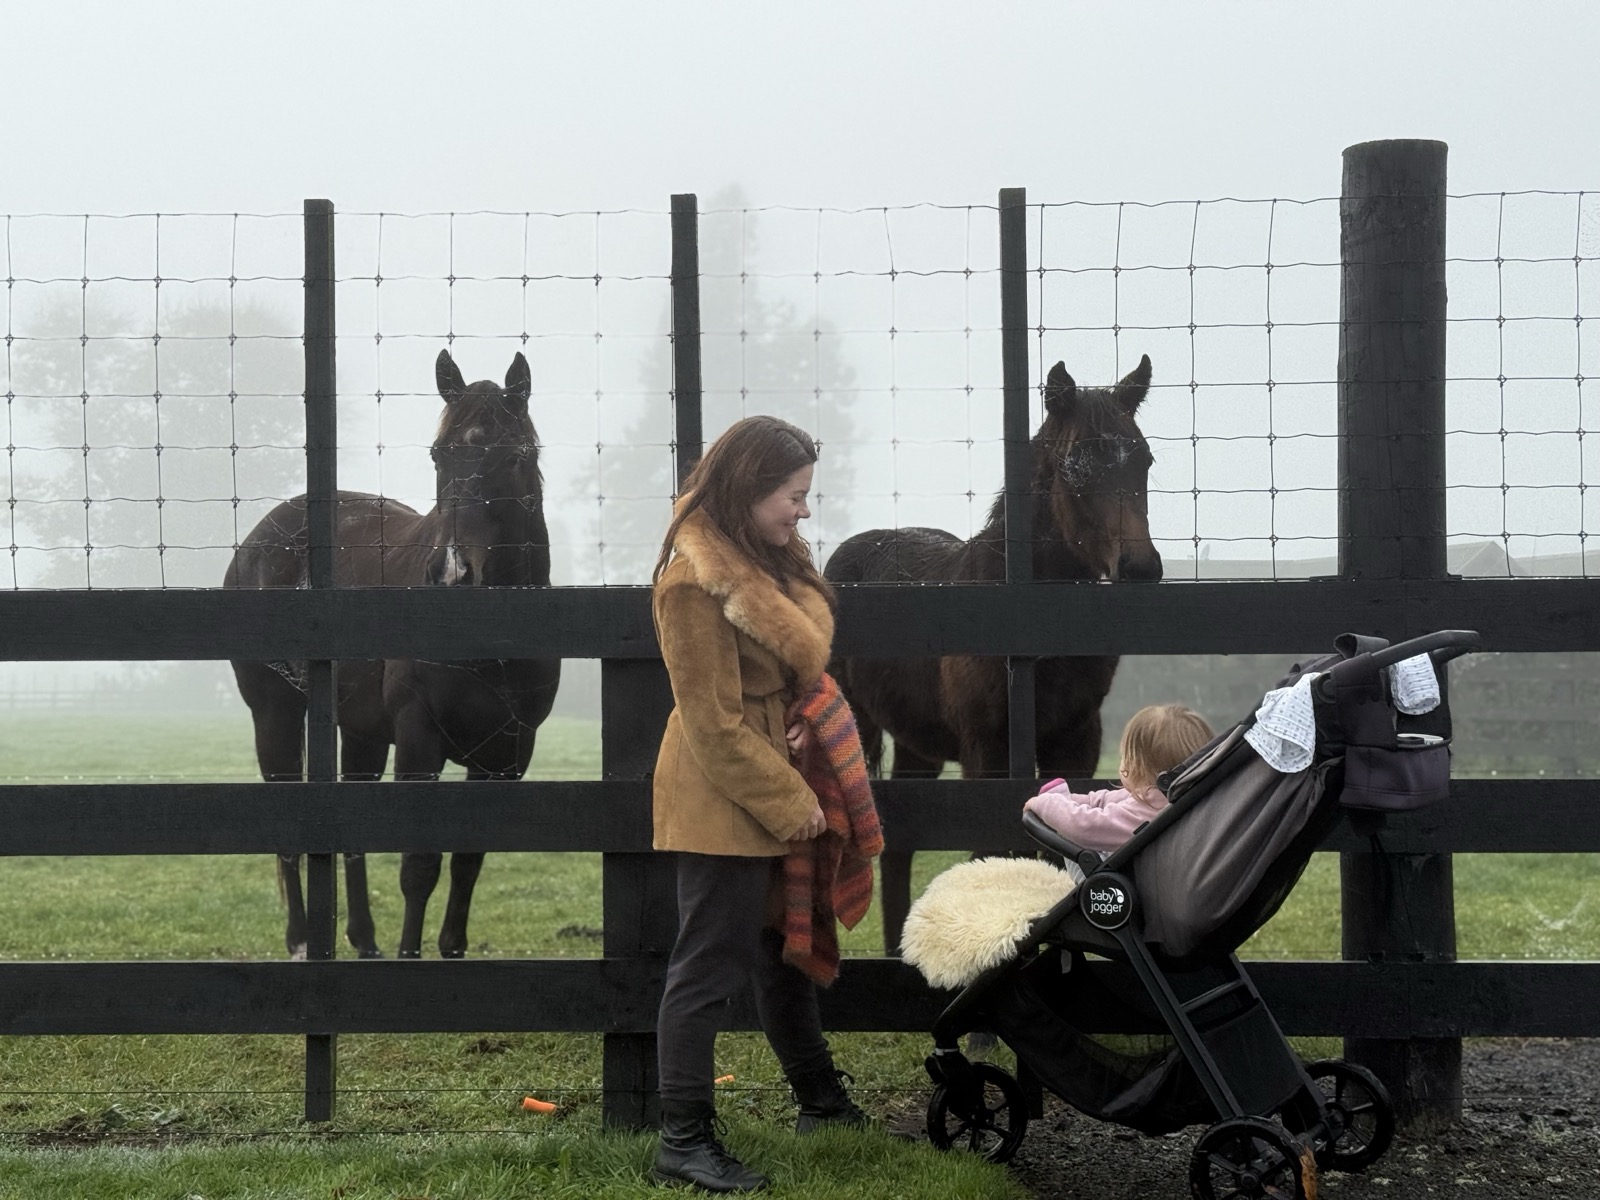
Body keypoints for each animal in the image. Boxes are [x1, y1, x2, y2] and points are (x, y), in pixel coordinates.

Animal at [225, 349, 561, 959]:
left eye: (514, 456)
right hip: (275, 713)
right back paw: (303, 942)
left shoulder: (508, 752)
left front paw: (450, 949)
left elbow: (468, 859)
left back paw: (363, 940)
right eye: (438, 454)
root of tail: (259, 539)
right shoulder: (417, 737)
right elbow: (419, 864)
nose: (451, 572)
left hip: (359, 730)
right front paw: (411, 956)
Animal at [823, 356, 1163, 953]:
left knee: (901, 844)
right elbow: (993, 853)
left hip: (917, 745)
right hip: (859, 728)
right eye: (1075, 469)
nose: (1140, 568)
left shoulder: (1077, 742)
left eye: (1143, 458)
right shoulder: (986, 752)